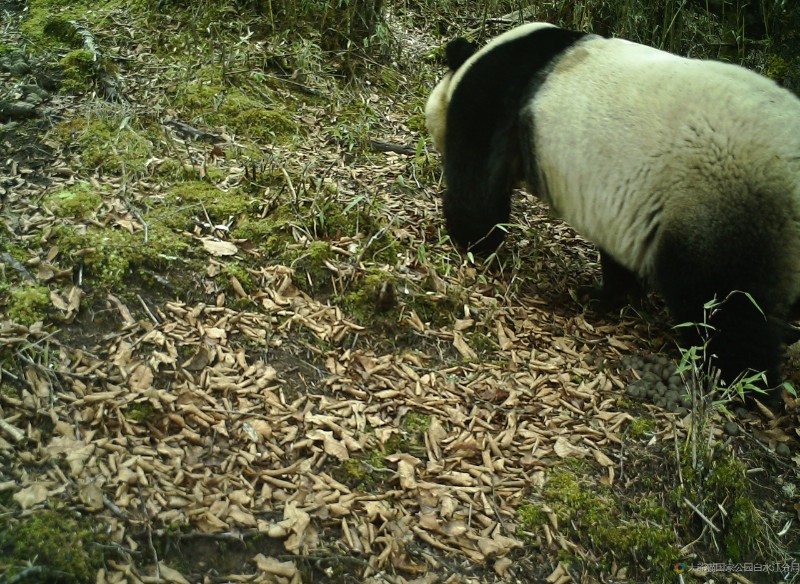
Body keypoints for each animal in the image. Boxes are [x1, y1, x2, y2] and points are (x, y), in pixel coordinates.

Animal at [428, 21, 800, 406]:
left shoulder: (493, 99)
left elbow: (479, 192)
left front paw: (465, 239)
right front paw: (608, 296)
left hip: (724, 200)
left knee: (722, 304)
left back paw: (743, 386)